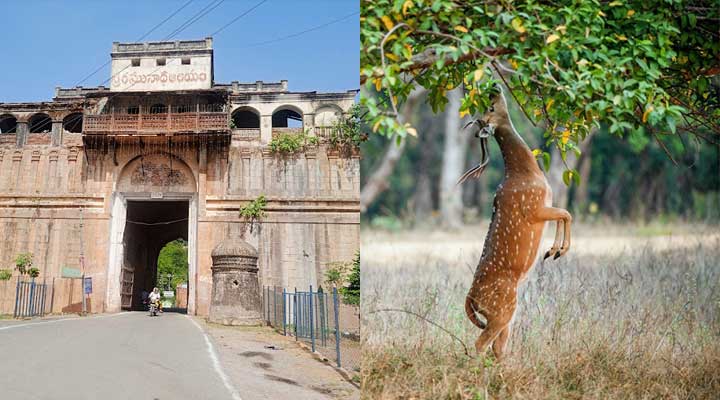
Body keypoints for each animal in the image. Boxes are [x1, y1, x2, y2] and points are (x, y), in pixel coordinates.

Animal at [458, 88, 572, 360]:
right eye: (490, 107)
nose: (494, 88)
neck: (527, 173)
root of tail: (471, 299)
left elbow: (564, 213)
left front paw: (552, 251)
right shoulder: (534, 208)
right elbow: (566, 213)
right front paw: (557, 251)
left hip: (503, 316)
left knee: (497, 349)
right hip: (503, 309)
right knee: (480, 345)